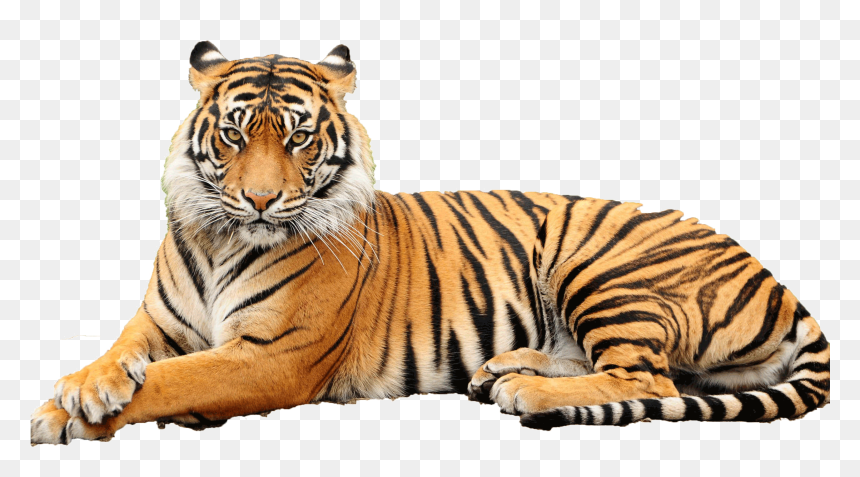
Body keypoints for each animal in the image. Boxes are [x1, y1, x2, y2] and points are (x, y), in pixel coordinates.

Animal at [30, 42, 830, 445]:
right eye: (233, 133)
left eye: (296, 137)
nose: (259, 199)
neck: (222, 237)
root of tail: (778, 281)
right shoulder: (157, 323)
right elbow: (123, 355)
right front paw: (82, 387)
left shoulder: (271, 357)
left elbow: (175, 380)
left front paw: (68, 413)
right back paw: (503, 369)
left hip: (602, 265)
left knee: (650, 379)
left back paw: (526, 390)